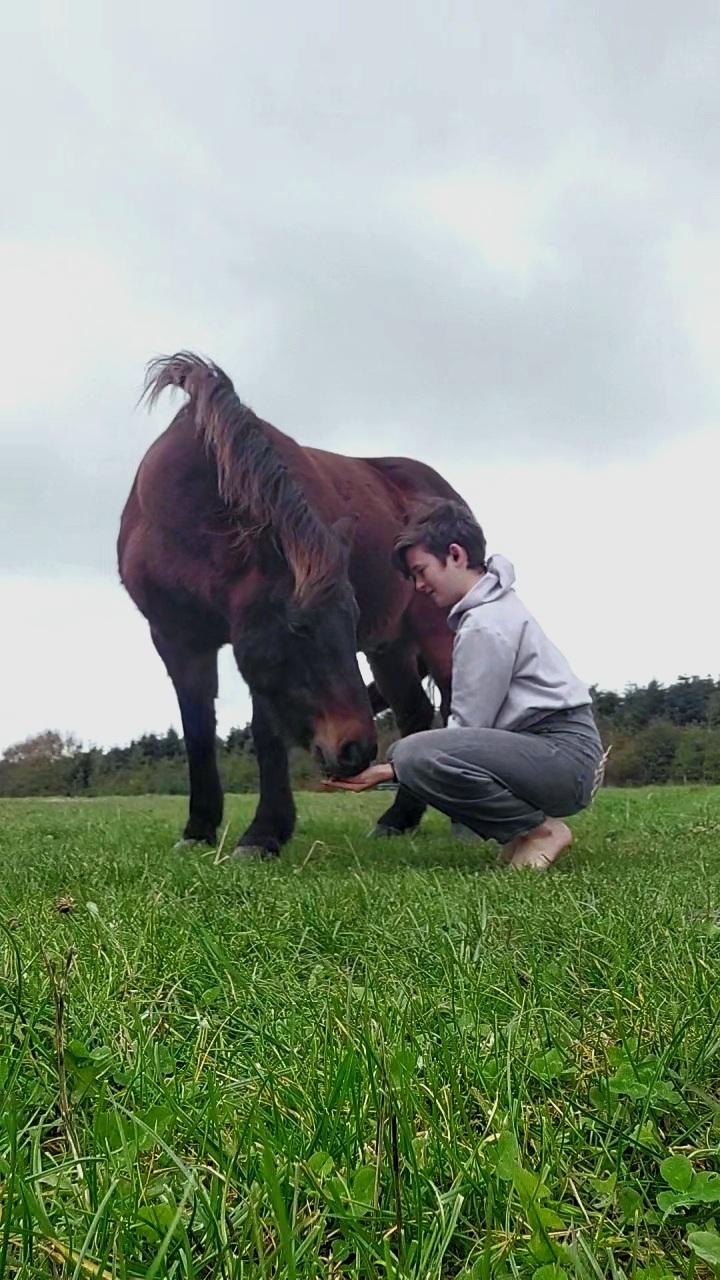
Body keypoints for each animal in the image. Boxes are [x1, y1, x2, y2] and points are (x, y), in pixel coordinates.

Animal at [116, 355, 466, 860]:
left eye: (348, 623)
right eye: (297, 627)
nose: (355, 751)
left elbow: (267, 732)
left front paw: (262, 835)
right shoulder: (178, 641)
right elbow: (197, 733)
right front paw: (198, 830)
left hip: (436, 632)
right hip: (390, 648)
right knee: (416, 714)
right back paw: (396, 820)